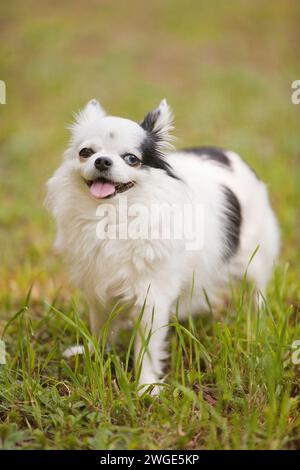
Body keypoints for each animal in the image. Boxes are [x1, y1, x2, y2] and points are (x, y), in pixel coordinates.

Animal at [45, 99, 280, 392]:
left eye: (131, 159)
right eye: (85, 153)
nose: (102, 161)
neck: (113, 216)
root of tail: (227, 154)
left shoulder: (152, 296)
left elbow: (146, 348)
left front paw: (146, 387)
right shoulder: (99, 289)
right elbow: (101, 327)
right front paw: (94, 354)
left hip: (254, 259)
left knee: (256, 291)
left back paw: (256, 323)